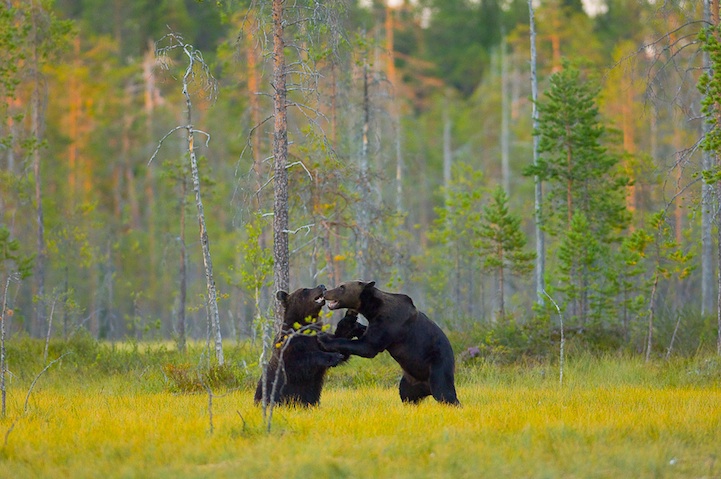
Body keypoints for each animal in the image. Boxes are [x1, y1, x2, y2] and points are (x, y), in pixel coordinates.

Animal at [318, 282, 458, 404]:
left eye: (342, 287)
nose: (325, 291)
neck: (373, 309)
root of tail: (426, 387)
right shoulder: (378, 323)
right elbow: (365, 334)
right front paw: (350, 325)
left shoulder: (390, 321)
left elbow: (367, 346)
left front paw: (324, 338)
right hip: (410, 380)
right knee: (406, 394)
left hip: (437, 365)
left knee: (444, 392)